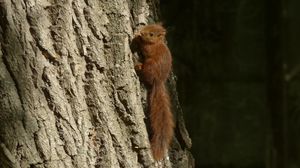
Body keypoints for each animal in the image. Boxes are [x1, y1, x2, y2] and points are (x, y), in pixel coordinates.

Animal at [133, 24, 175, 161]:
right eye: (146, 26)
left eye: (151, 34)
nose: (142, 32)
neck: (156, 43)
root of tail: (158, 81)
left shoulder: (150, 50)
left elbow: (145, 49)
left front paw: (137, 38)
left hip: (150, 66)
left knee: (145, 75)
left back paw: (138, 67)